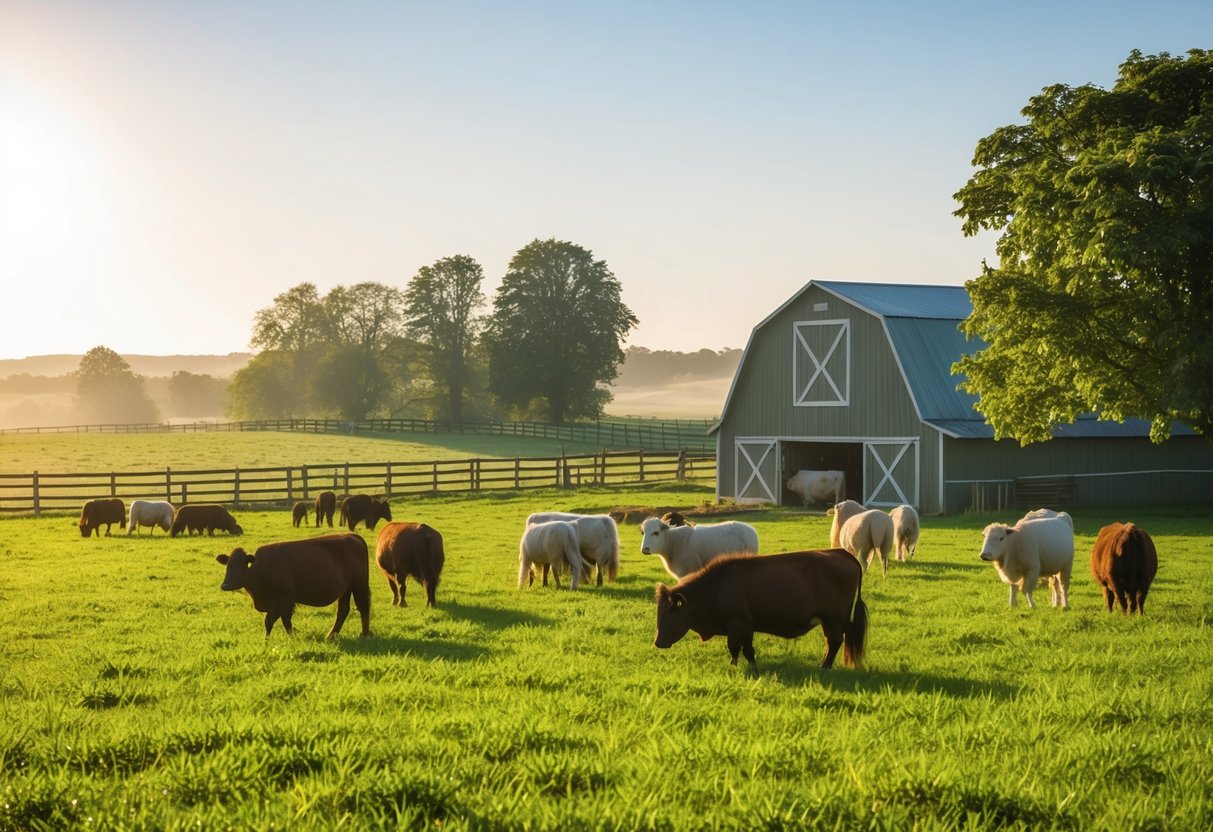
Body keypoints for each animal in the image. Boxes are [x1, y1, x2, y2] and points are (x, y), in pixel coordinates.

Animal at [215, 533, 368, 640]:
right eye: (227, 566)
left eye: (240, 565)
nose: (225, 585)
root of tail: (352, 535)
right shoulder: (277, 603)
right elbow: (274, 621)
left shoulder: (285, 598)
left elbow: (279, 620)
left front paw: (286, 637)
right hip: (346, 589)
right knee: (343, 610)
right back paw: (331, 635)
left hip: (359, 585)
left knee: (363, 607)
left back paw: (364, 634)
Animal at [655, 553, 873, 669]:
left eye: (670, 614)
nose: (657, 642)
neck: (719, 585)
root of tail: (842, 553)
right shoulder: (745, 626)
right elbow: (744, 649)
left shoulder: (738, 622)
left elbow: (738, 648)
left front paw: (738, 667)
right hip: (837, 620)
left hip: (833, 619)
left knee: (835, 641)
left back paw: (824, 667)